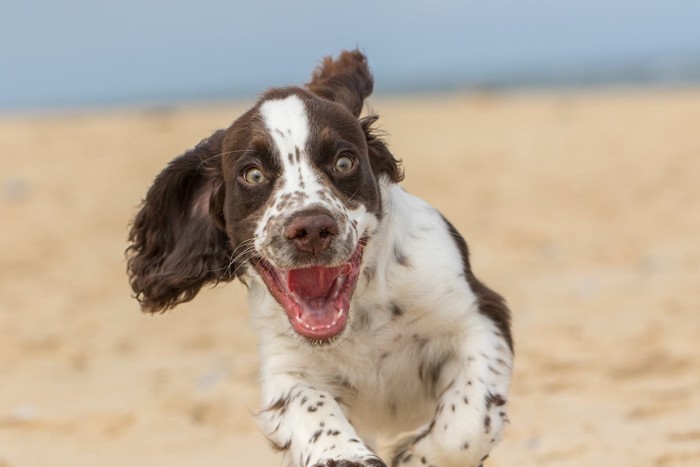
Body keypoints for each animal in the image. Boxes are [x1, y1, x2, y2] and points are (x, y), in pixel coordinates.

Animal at [127, 51, 508, 467]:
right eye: (253, 174)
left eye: (344, 162)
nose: (310, 228)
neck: (359, 318)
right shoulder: (287, 369)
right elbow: (311, 409)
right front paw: (347, 455)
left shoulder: (477, 316)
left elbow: (467, 424)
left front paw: (414, 456)